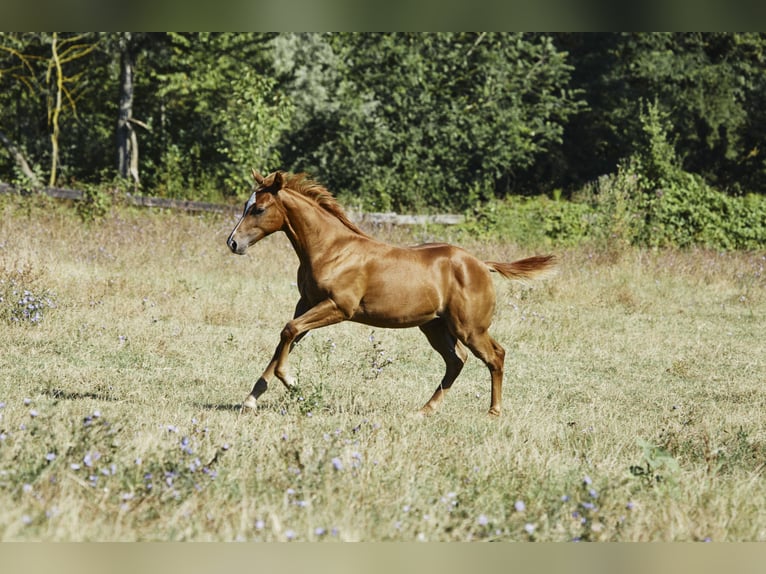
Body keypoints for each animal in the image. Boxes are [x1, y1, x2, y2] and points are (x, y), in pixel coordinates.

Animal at [225, 169, 556, 416]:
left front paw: (293, 383)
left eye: (259, 209)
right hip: (435, 326)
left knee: (495, 355)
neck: (331, 250)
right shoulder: (306, 304)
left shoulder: (338, 307)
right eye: (245, 206)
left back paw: (493, 412)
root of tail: (482, 265)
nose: (233, 243)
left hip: (469, 327)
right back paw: (424, 410)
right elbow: (286, 339)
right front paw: (251, 399)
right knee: (456, 361)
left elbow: (289, 331)